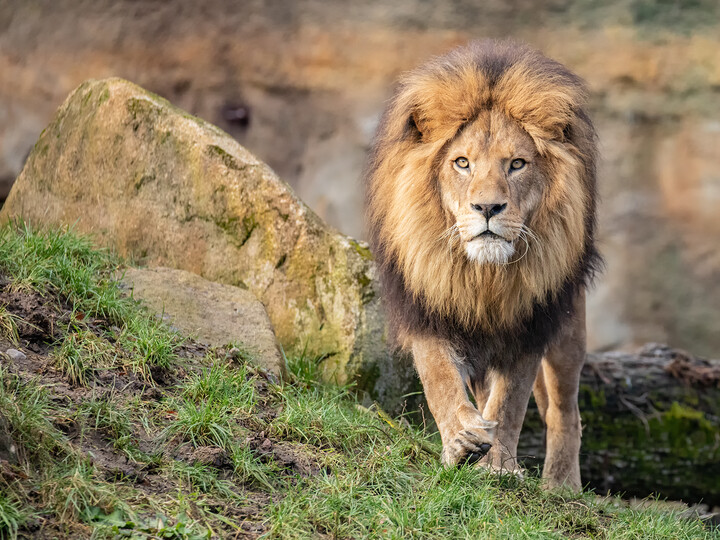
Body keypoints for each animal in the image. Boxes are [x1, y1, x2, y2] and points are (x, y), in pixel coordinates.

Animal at [365, 40, 601, 490]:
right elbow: (440, 377)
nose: (488, 208)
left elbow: (510, 402)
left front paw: (500, 466)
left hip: (568, 329)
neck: (483, 276)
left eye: (517, 164)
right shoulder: (428, 305)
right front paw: (463, 440)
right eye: (462, 163)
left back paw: (561, 484)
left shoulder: (529, 325)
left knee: (564, 410)